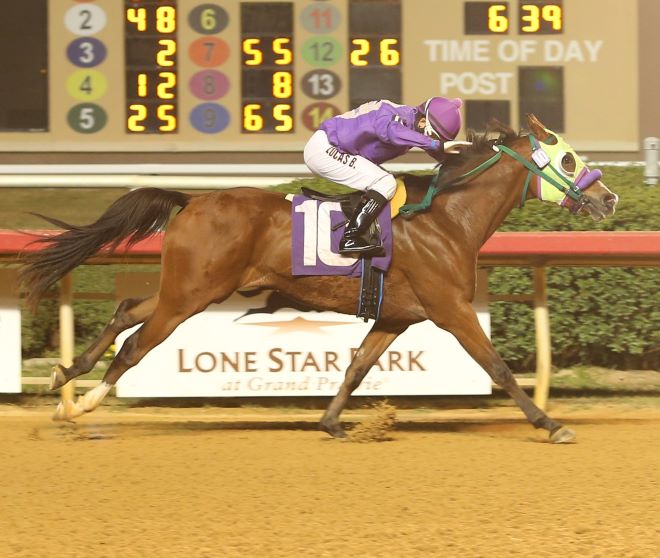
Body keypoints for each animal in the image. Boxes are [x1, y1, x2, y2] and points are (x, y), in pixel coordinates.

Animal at [18, 115, 618, 443]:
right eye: (568, 159)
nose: (608, 198)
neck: (447, 220)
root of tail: (192, 200)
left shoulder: (396, 317)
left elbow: (356, 368)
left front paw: (331, 422)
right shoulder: (449, 308)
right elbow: (498, 367)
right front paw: (550, 424)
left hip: (189, 289)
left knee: (127, 312)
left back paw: (64, 380)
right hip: (191, 294)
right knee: (138, 343)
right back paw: (84, 404)